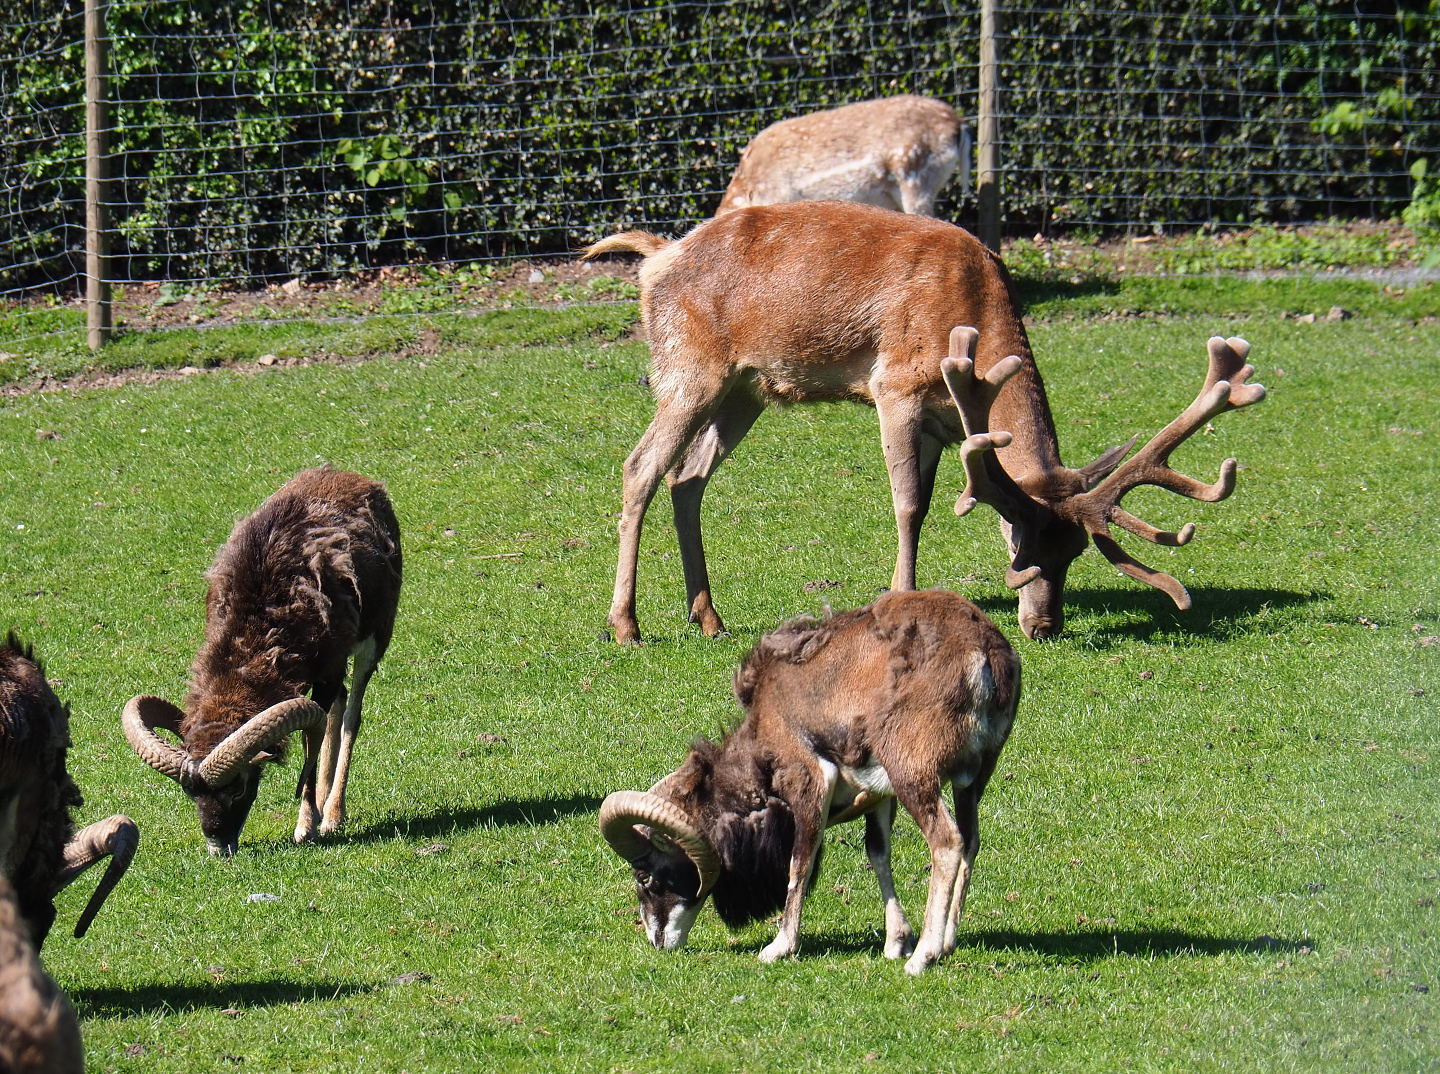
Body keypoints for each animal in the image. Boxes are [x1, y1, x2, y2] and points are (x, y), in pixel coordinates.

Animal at [582, 200, 1265, 643]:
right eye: (1021, 544)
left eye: (1073, 553)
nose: (1044, 627)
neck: (972, 315)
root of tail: (656, 260)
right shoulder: (896, 387)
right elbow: (907, 503)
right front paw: (900, 598)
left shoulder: (948, 424)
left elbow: (932, 501)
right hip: (688, 368)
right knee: (641, 467)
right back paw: (626, 625)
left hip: (745, 389)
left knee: (688, 478)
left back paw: (709, 618)